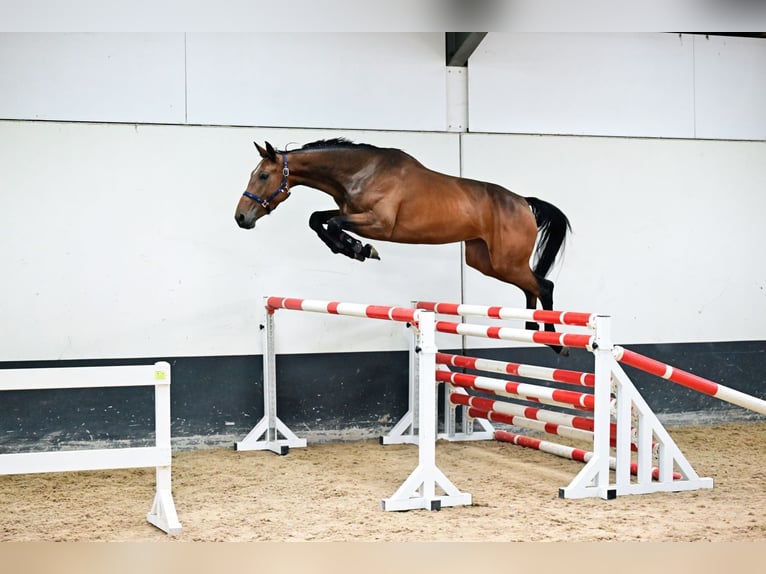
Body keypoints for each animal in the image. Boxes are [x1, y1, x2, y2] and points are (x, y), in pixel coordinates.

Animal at [237, 140, 572, 356]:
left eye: (263, 175)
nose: (241, 218)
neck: (361, 172)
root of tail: (523, 202)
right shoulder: (351, 214)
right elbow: (318, 219)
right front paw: (354, 248)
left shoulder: (379, 224)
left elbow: (331, 223)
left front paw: (359, 249)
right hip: (486, 261)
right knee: (531, 287)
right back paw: (532, 330)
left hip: (505, 261)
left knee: (544, 285)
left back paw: (555, 342)